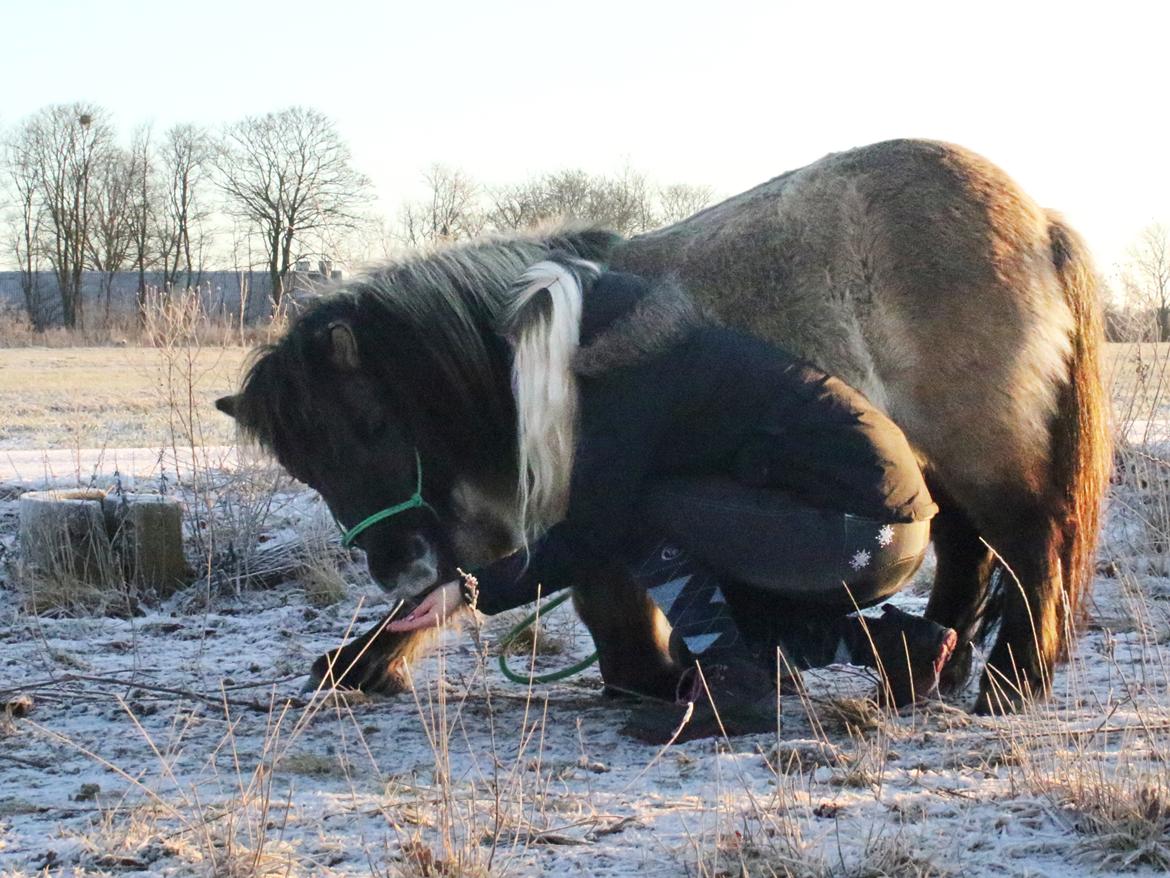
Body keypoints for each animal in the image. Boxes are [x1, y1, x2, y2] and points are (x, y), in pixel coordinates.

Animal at [217, 139, 1104, 716]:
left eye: (370, 423)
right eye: (306, 467)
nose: (393, 566)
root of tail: (1040, 220)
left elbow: (599, 593)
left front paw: (646, 679)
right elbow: (466, 586)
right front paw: (358, 664)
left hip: (977, 446)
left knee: (1032, 545)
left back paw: (1008, 686)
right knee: (968, 551)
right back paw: (924, 677)